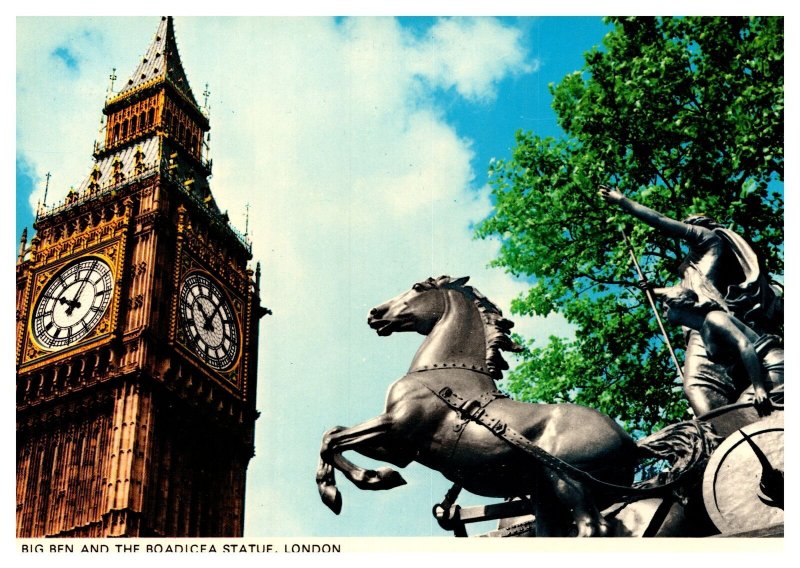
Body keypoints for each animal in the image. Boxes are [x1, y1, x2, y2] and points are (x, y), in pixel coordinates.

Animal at [316, 276, 640, 536]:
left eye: (418, 287)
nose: (375, 314)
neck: (444, 372)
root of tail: (631, 443)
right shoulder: (401, 449)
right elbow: (333, 434)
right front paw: (378, 476)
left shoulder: (395, 425)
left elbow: (332, 440)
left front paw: (344, 489)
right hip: (545, 497)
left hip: (568, 482)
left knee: (593, 528)